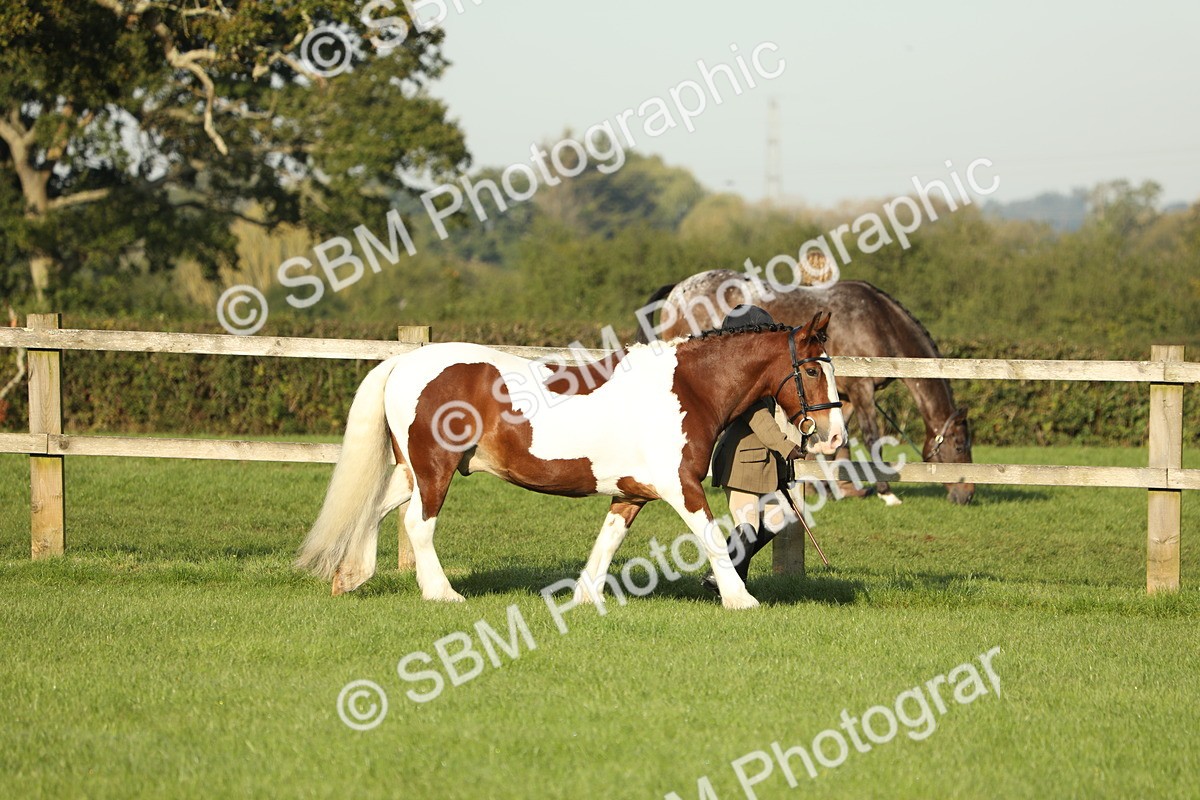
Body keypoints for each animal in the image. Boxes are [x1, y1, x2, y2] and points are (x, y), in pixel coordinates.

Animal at [297, 314, 847, 610]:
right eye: (812, 371)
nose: (835, 437)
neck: (687, 389)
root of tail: (405, 361)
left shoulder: (631, 493)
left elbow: (607, 542)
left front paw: (584, 598)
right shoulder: (681, 487)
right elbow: (711, 538)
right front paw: (740, 599)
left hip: (412, 470)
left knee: (374, 509)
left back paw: (349, 577)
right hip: (435, 469)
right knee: (417, 523)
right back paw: (441, 593)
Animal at [639, 271, 974, 505]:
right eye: (959, 446)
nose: (968, 494)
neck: (879, 320)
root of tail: (679, 288)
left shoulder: (842, 396)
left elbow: (835, 441)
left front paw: (837, 487)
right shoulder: (863, 391)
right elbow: (871, 437)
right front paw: (885, 491)